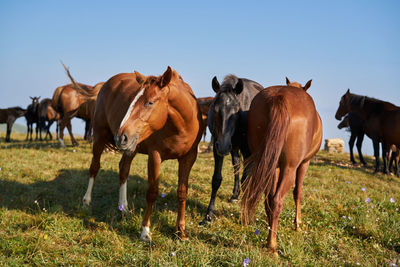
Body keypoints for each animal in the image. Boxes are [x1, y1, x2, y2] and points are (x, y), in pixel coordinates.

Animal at [83, 66, 205, 241]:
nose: (120, 136)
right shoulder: (155, 156)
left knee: (123, 170)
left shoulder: (188, 158)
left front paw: (180, 231)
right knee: (94, 167)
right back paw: (86, 201)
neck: (181, 126)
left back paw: (123, 207)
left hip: (130, 147)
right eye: (132, 101)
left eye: (150, 102)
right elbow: (152, 192)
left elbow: (182, 192)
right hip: (100, 137)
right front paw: (145, 231)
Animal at [199, 74, 262, 225]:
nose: (223, 146)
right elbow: (216, 179)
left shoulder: (247, 149)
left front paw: (247, 215)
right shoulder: (217, 147)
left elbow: (247, 179)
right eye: (215, 110)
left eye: (236, 111)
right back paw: (235, 195)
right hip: (233, 148)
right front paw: (208, 215)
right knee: (237, 165)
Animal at [241, 82, 322, 258]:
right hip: (290, 169)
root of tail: (279, 98)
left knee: (269, 200)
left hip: (268, 164)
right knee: (277, 200)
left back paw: (270, 237)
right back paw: (272, 246)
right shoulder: (304, 163)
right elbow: (298, 193)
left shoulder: (275, 166)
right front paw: (298, 224)